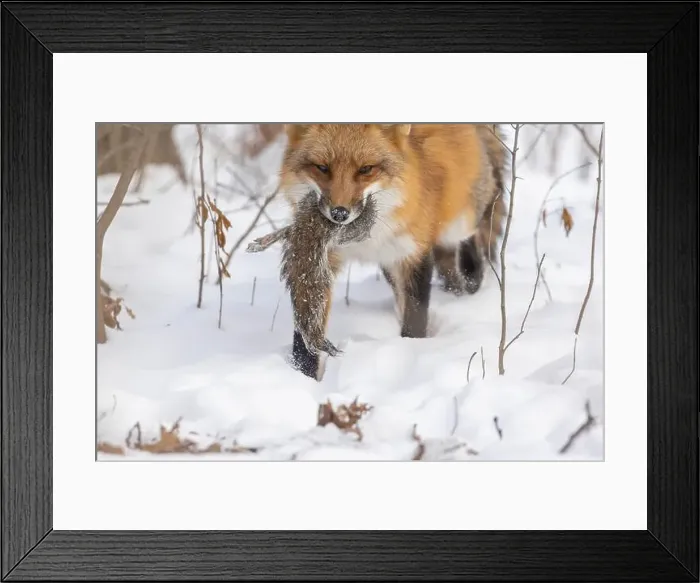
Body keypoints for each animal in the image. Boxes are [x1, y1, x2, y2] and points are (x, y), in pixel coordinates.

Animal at [277, 123, 507, 380]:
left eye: (366, 169)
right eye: (322, 168)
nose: (339, 214)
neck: (365, 237)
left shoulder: (412, 253)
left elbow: (415, 317)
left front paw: (412, 349)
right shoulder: (318, 257)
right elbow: (306, 327)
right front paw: (304, 376)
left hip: (457, 221)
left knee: (474, 236)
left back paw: (471, 274)